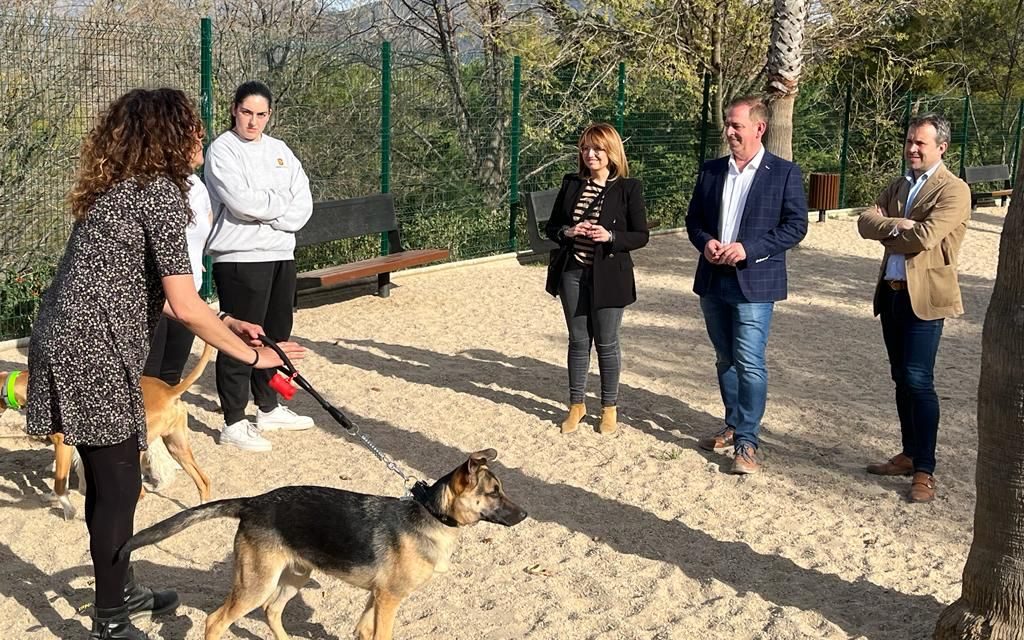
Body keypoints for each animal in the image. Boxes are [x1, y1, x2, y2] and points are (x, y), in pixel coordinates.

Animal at [1, 342, 214, 516]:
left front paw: (68, 508)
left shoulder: (63, 445)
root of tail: (169, 391)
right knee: (203, 480)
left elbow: (61, 482)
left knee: (139, 490)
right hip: (177, 446)